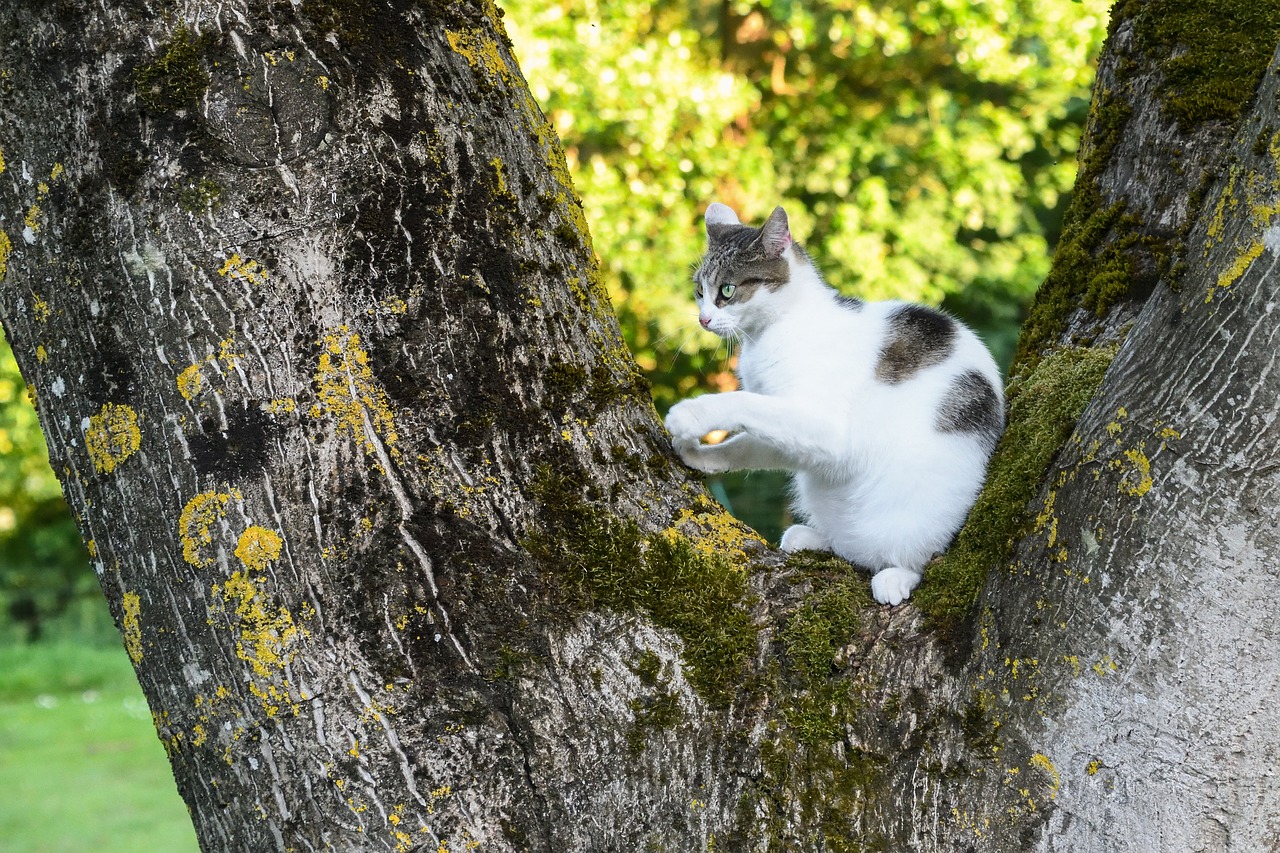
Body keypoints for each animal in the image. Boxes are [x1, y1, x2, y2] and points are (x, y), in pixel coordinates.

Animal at [665, 202, 1003, 604]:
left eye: (727, 290)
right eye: (699, 291)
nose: (703, 319)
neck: (769, 333)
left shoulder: (824, 426)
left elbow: (743, 402)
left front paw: (690, 414)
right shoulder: (795, 432)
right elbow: (748, 444)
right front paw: (702, 455)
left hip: (918, 513)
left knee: (915, 554)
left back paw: (896, 575)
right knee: (851, 548)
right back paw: (815, 538)